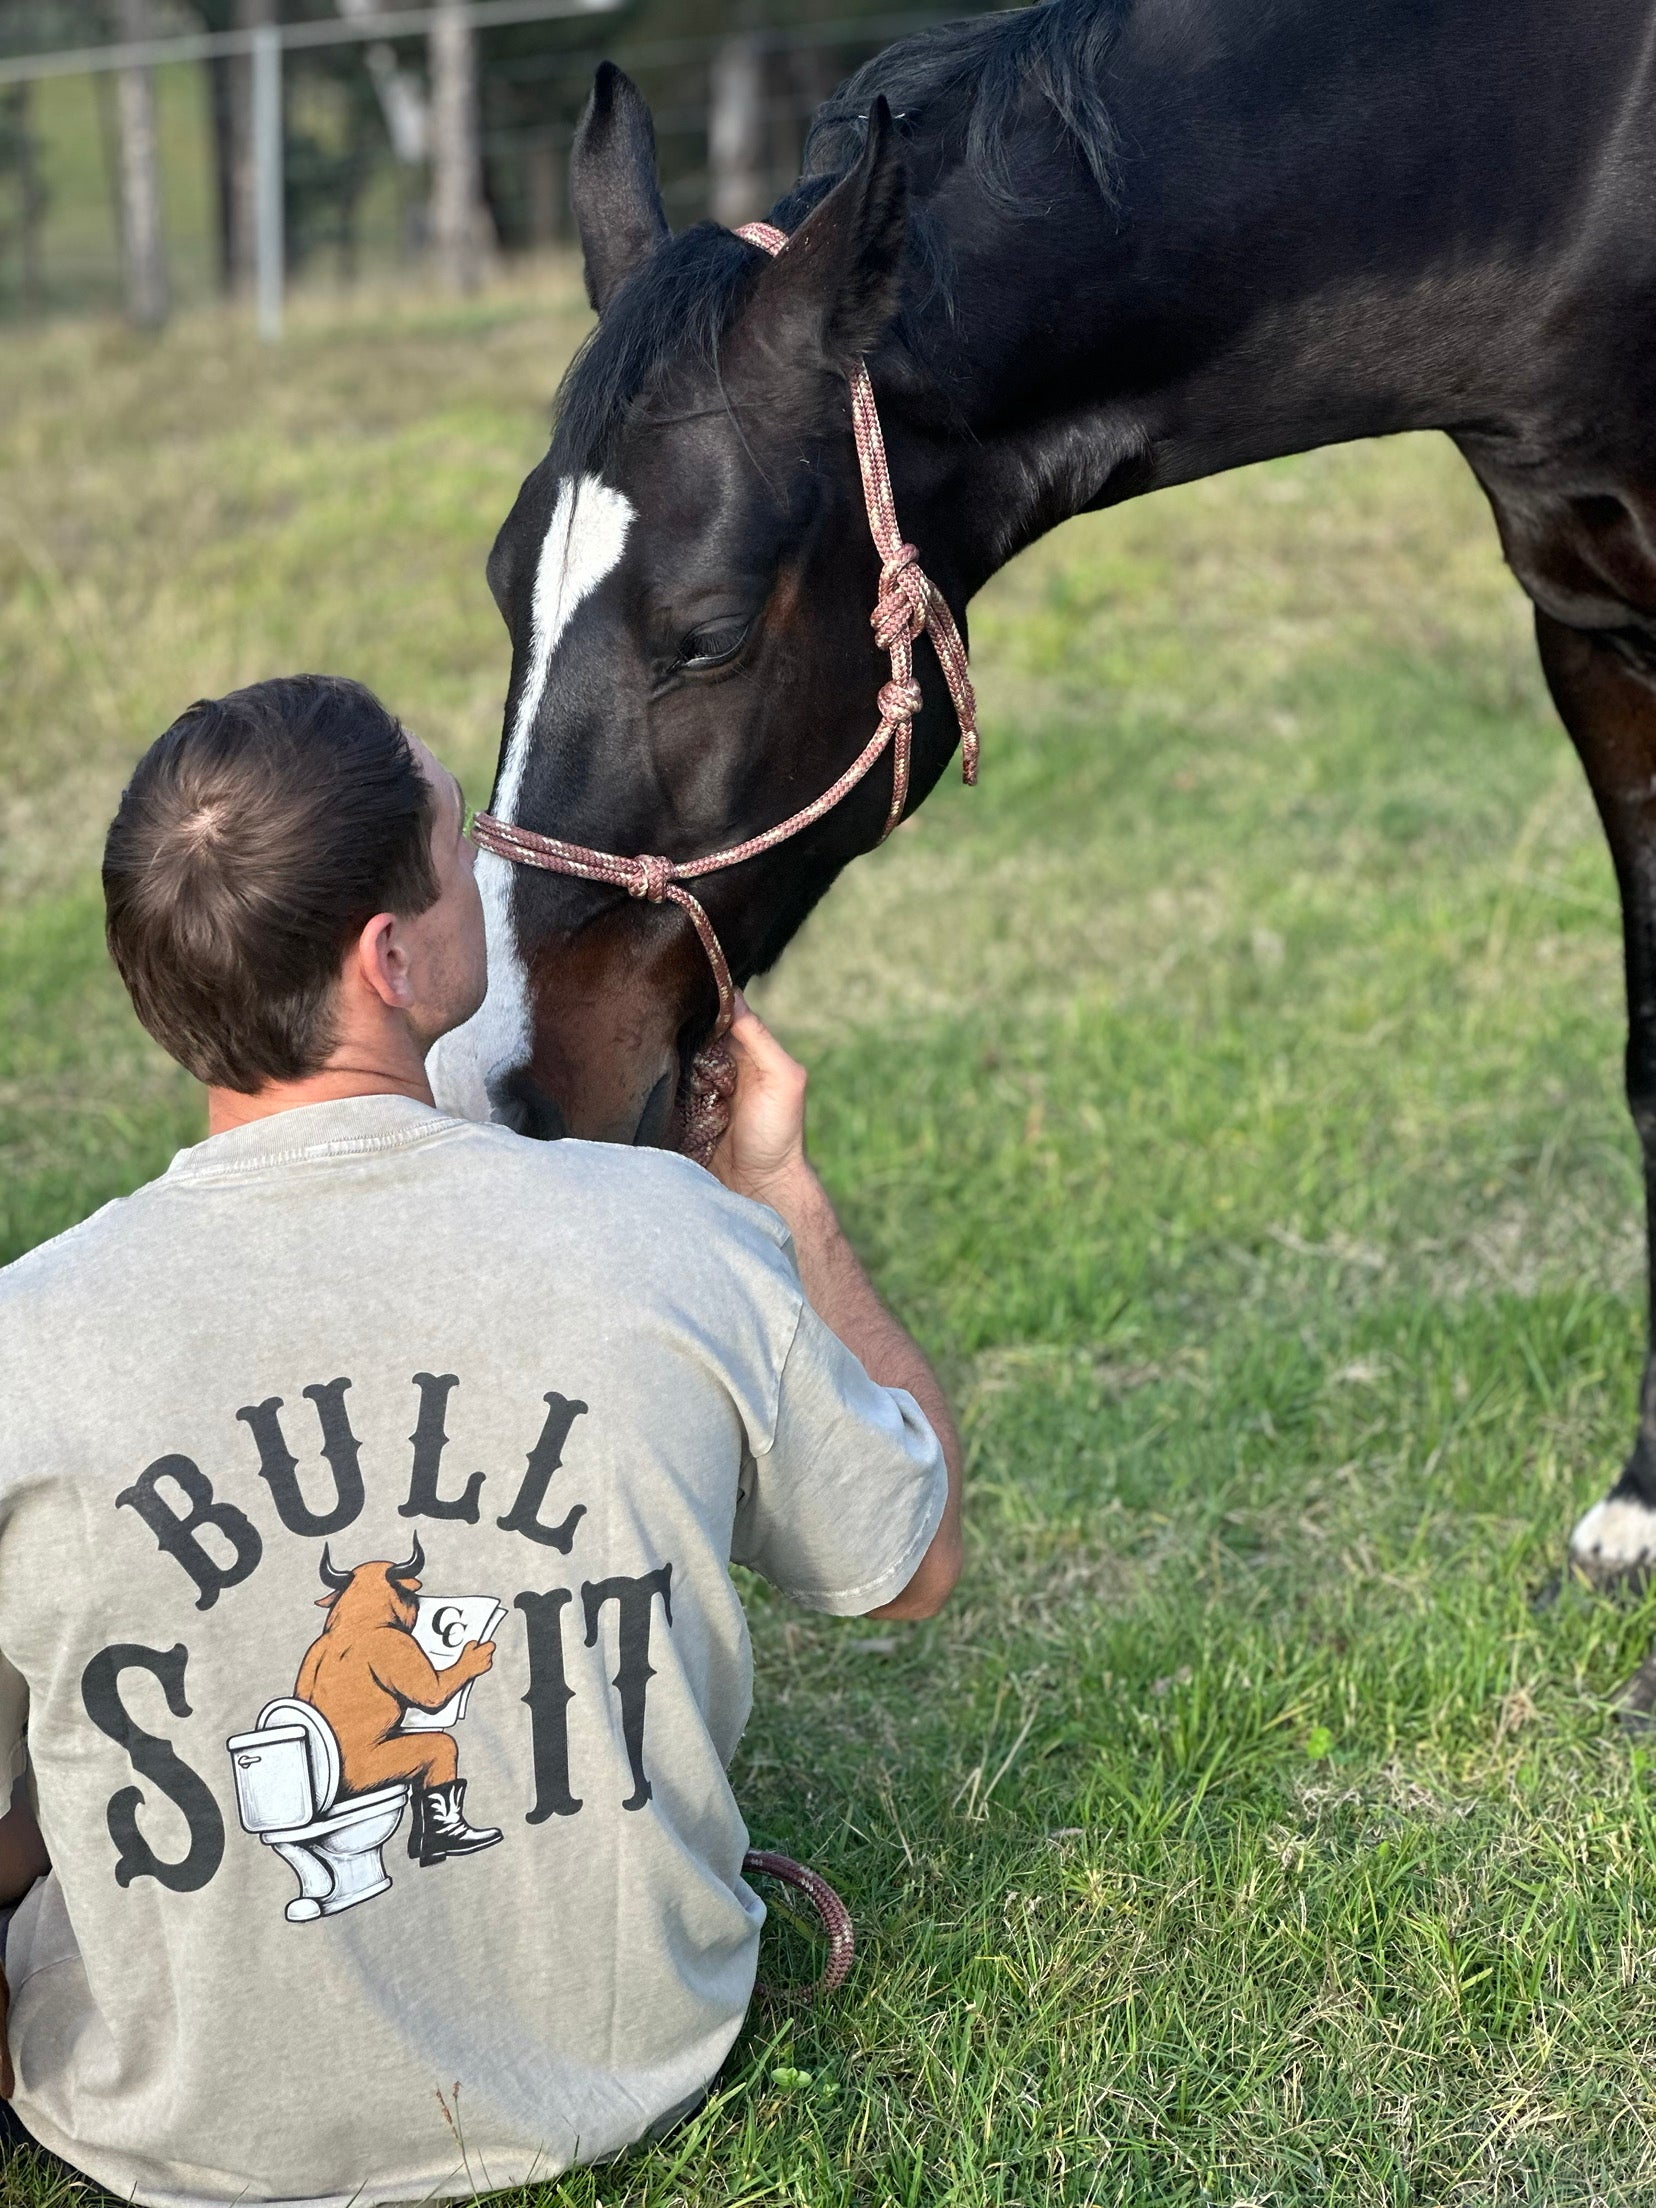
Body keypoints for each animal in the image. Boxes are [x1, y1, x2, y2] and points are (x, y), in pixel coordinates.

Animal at [296, 1535, 501, 1867]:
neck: (357, 1620)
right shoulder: (397, 1646)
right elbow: (432, 1692)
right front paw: (474, 1656)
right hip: (376, 1772)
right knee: (441, 1750)